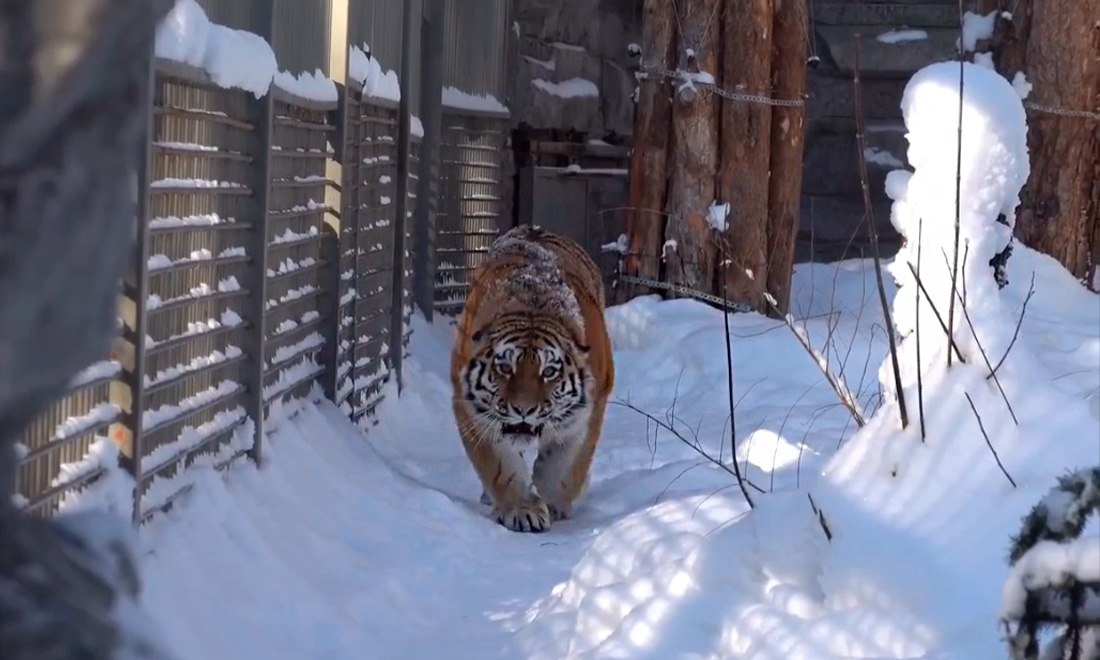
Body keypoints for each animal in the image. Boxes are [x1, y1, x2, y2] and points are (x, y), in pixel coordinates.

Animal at [448, 224, 620, 534]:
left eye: (549, 372)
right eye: (505, 368)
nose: (523, 410)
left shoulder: (588, 413)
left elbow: (562, 468)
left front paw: (553, 504)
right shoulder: (470, 408)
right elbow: (501, 467)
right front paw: (523, 510)